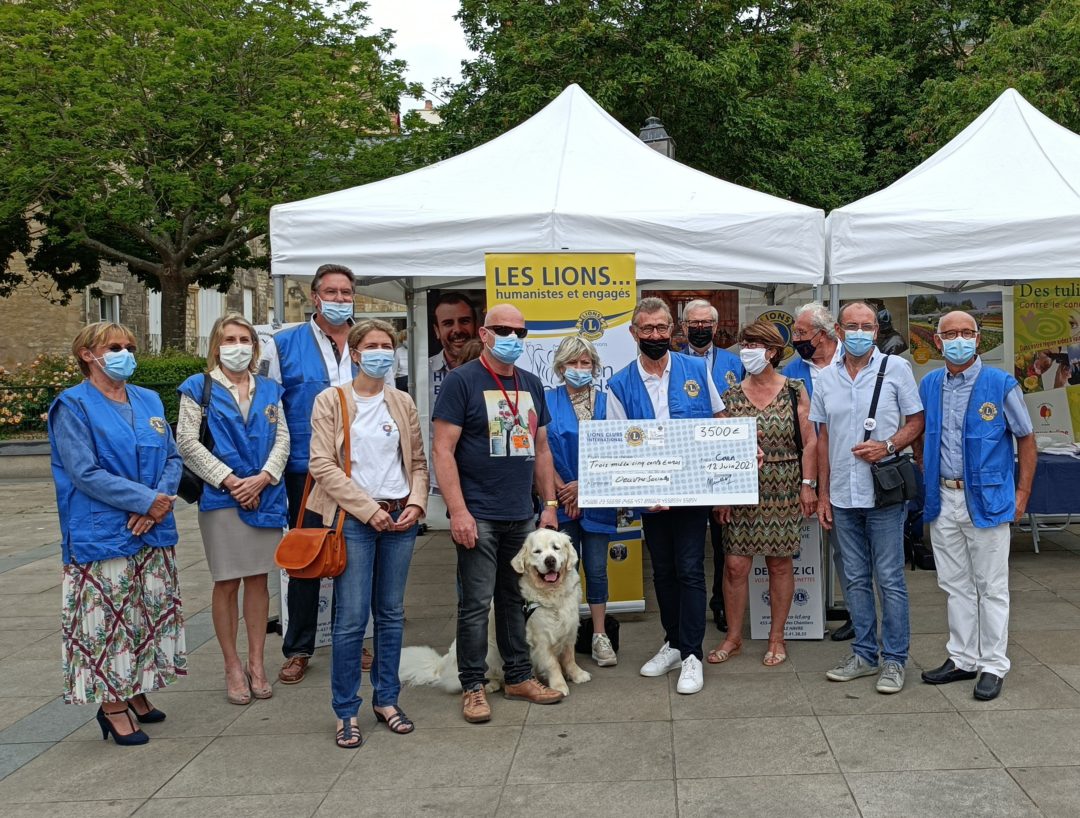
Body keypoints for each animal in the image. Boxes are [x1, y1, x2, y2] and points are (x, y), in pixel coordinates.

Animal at [401, 529, 596, 695]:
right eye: (537, 552)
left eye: (556, 548)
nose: (550, 561)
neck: (552, 595)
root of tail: (442, 664)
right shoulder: (541, 638)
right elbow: (552, 663)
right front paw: (559, 685)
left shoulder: (569, 628)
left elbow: (569, 657)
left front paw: (577, 674)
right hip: (489, 650)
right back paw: (491, 685)